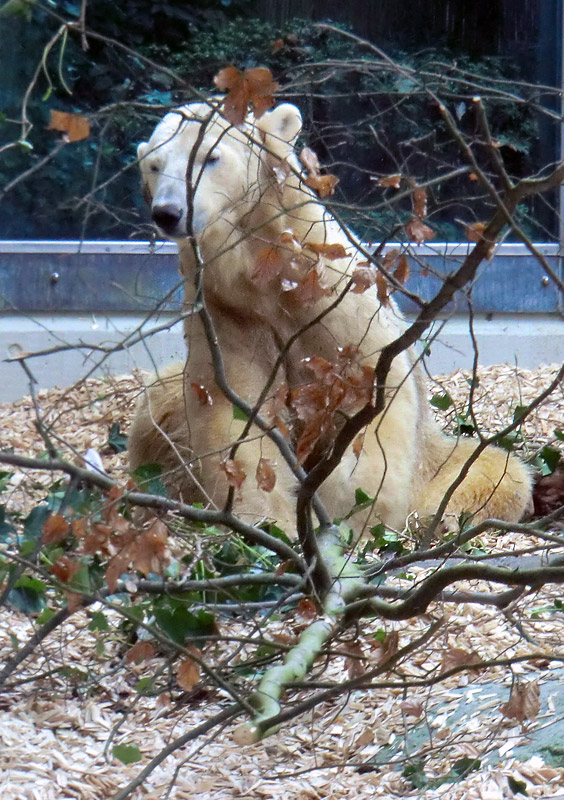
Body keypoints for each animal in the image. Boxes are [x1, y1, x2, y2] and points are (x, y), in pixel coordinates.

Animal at [129, 101, 532, 536]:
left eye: (210, 156)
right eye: (154, 164)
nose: (168, 212)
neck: (266, 275)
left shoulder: (335, 294)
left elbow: (365, 392)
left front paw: (347, 509)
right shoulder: (229, 312)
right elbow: (238, 411)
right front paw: (269, 520)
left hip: (434, 462)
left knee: (497, 472)